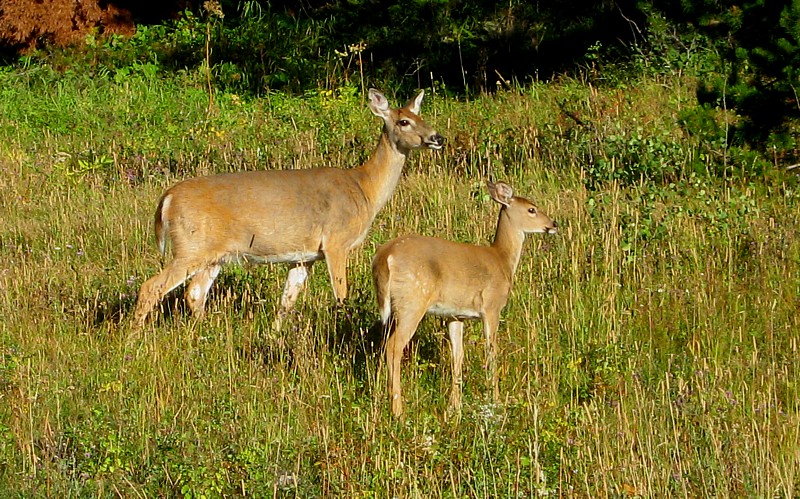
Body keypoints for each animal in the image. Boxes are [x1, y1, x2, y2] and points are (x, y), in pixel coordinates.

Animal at [132, 88, 444, 329]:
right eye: (404, 121)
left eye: (423, 116)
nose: (437, 137)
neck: (364, 188)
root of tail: (167, 198)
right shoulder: (336, 241)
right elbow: (341, 293)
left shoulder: (304, 255)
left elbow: (287, 300)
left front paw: (275, 335)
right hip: (191, 246)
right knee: (152, 287)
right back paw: (133, 339)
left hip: (212, 254)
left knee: (194, 293)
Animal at [372, 181, 557, 417]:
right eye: (532, 209)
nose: (553, 224)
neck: (502, 260)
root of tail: (385, 257)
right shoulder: (492, 307)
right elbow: (491, 351)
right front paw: (495, 400)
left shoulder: (455, 315)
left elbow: (457, 356)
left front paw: (454, 407)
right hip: (412, 301)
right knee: (393, 346)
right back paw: (398, 411)